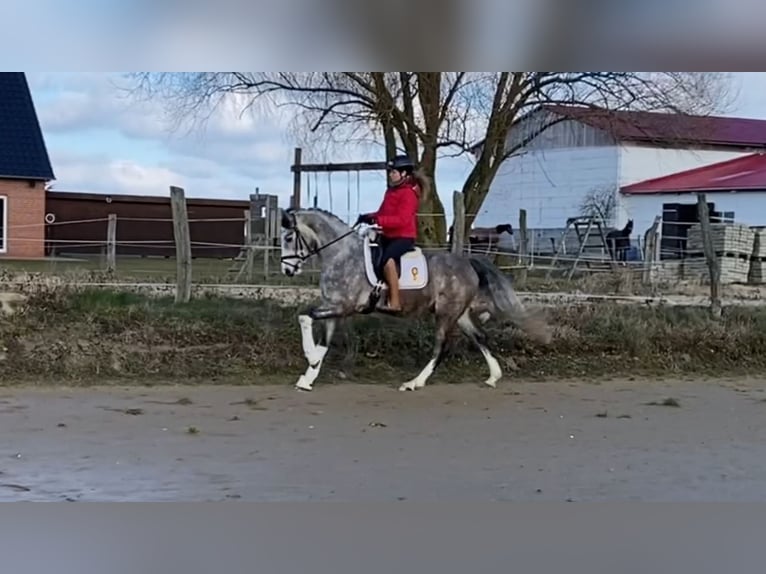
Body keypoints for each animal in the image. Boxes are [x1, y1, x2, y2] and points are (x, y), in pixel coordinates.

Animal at [280, 209, 552, 394]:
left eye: (289, 238)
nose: (287, 270)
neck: (341, 256)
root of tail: (468, 261)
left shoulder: (342, 307)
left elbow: (304, 316)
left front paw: (310, 358)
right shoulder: (334, 308)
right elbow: (323, 342)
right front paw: (308, 376)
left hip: (446, 314)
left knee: (440, 347)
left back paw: (414, 382)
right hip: (460, 314)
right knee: (480, 337)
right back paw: (493, 377)